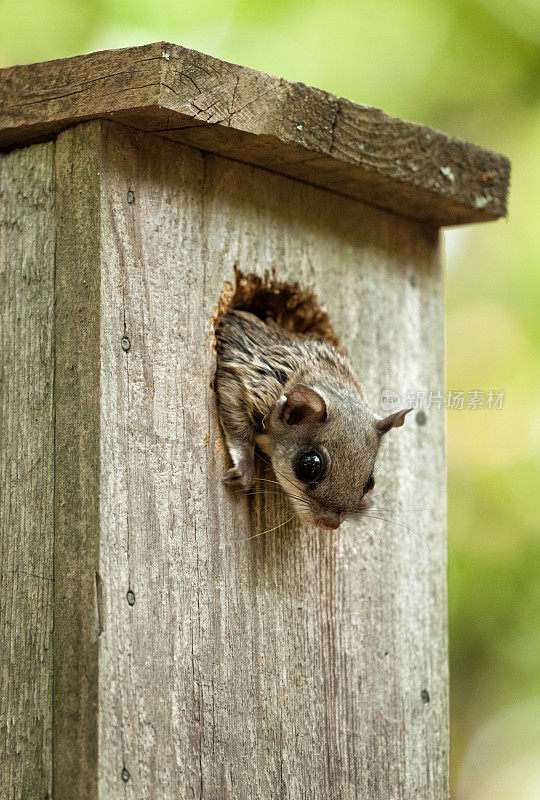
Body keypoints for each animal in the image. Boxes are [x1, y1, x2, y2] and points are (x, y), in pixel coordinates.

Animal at [214, 310, 410, 528]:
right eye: (309, 464)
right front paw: (244, 470)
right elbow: (237, 425)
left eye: (371, 481)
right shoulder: (246, 383)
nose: (330, 523)